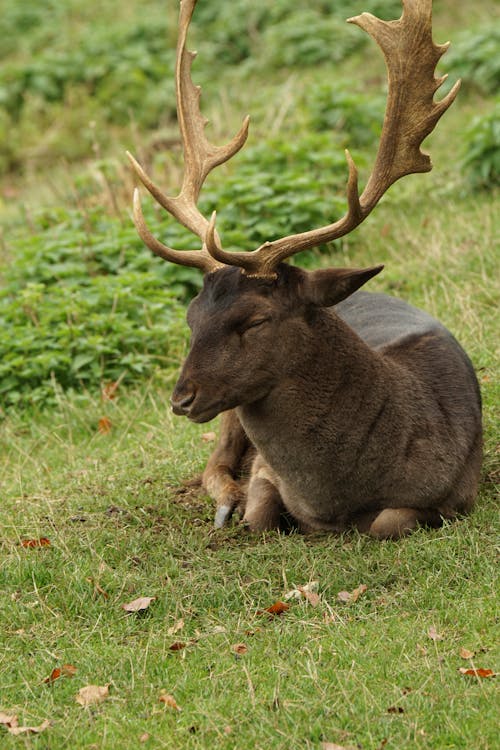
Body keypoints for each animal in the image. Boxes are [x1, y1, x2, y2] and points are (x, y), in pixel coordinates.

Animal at [127, 0, 482, 540]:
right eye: (191, 317)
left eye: (255, 319)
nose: (181, 398)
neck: (338, 501)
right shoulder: (266, 473)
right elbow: (258, 516)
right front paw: (242, 508)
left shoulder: (459, 491)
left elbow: (387, 522)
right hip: (227, 416)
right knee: (215, 463)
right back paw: (225, 500)